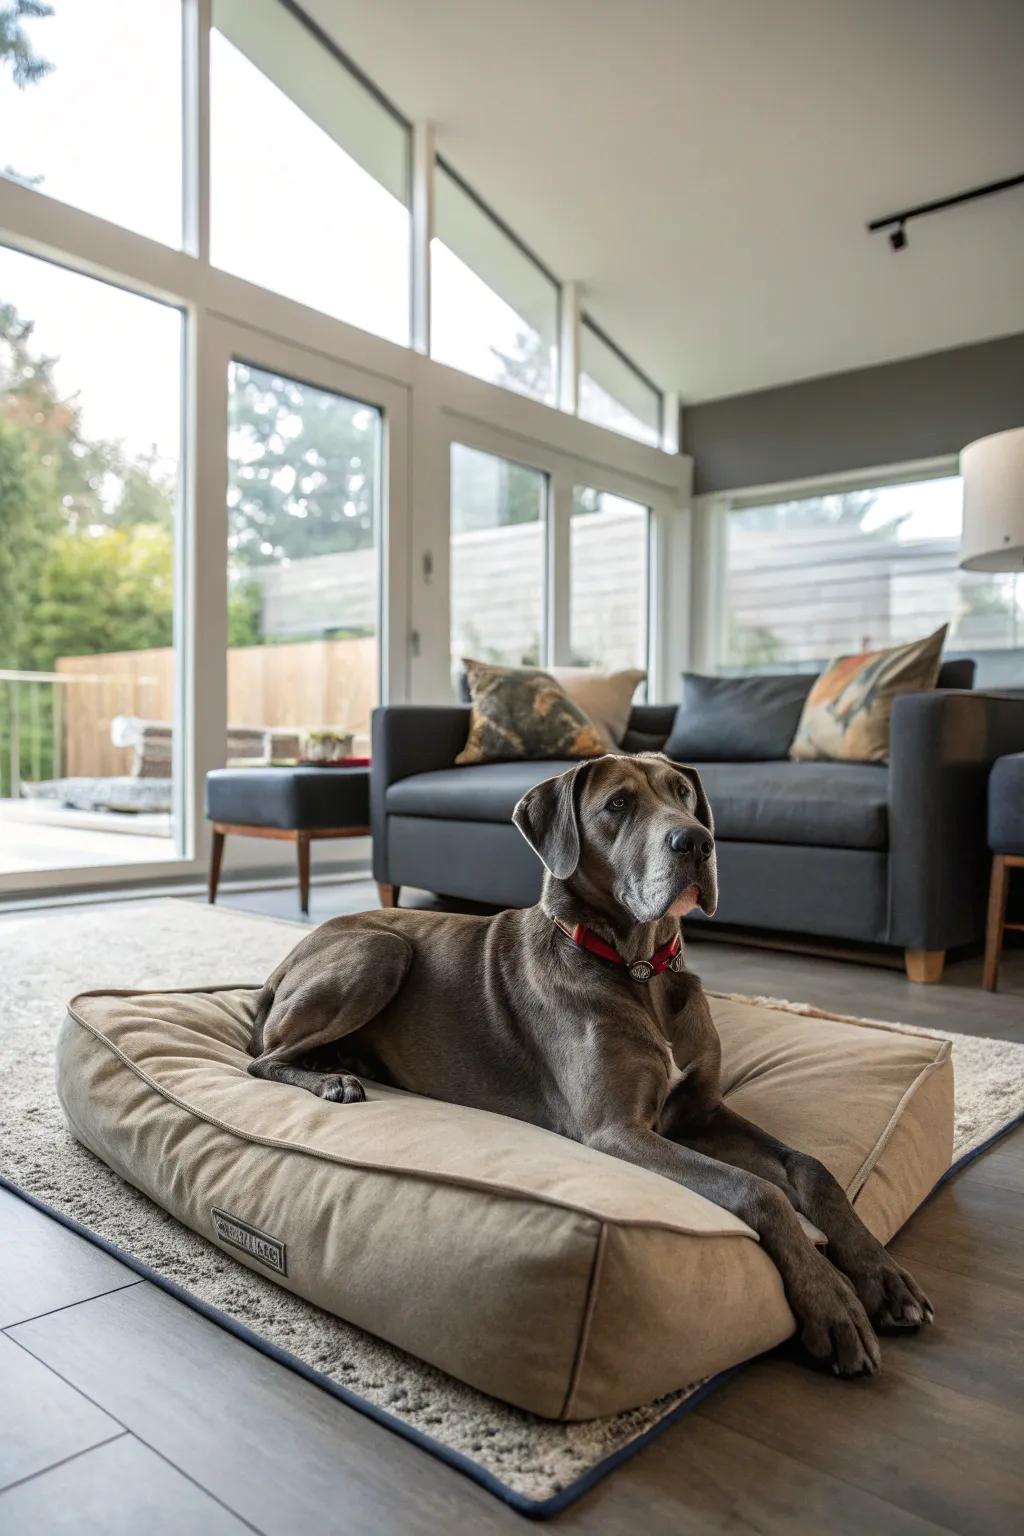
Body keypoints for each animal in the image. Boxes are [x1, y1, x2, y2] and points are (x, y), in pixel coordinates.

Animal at [251, 749, 933, 1376]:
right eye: (617, 806)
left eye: (684, 793)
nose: (698, 841)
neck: (639, 968)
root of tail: (283, 963)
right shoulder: (617, 1130)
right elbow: (758, 1189)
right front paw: (832, 1301)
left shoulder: (703, 1111)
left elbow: (810, 1168)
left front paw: (883, 1276)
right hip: (381, 950)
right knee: (262, 1060)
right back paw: (335, 1080)